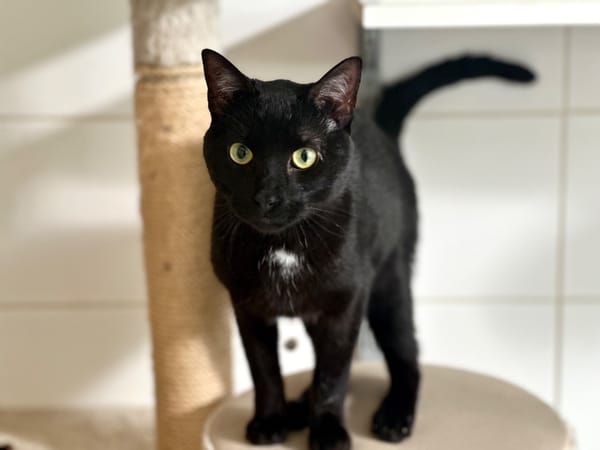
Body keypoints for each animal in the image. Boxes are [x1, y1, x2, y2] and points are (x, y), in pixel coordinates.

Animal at [201, 49, 534, 450]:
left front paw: (328, 432)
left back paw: (394, 416)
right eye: (240, 153)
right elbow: (264, 369)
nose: (267, 198)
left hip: (389, 285)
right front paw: (269, 422)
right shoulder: (247, 306)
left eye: (304, 157)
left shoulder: (346, 302)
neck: (284, 246)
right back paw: (297, 409)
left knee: (407, 355)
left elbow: (333, 374)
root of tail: (381, 133)